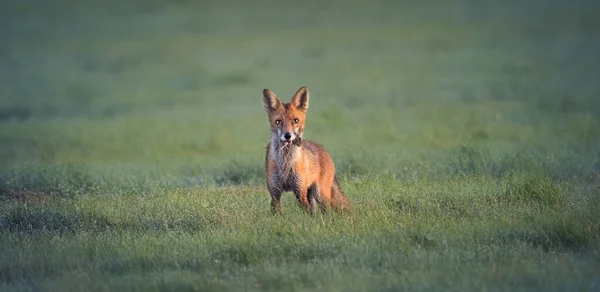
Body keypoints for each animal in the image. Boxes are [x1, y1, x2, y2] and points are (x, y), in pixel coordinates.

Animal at [262, 86, 352, 214]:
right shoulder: (275, 193)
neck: (285, 164)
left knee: (327, 211)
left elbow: (306, 214)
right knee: (314, 211)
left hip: (320, 194)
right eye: (278, 121)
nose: (287, 135)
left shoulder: (300, 191)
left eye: (296, 120)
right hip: (311, 195)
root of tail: (321, 148)